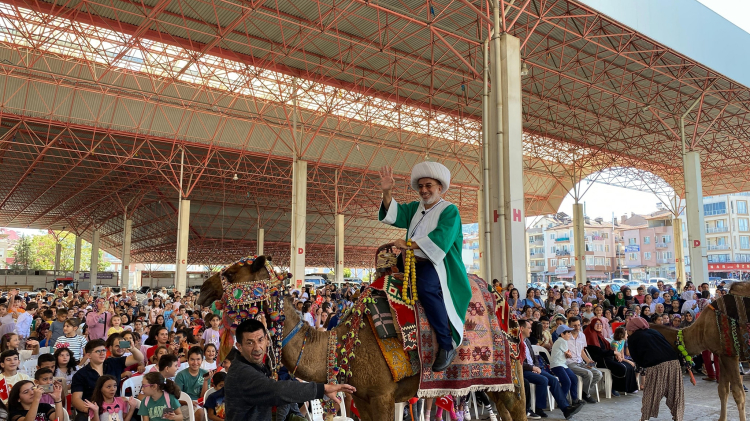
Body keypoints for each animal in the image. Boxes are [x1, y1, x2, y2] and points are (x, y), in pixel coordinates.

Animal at [197, 255, 527, 421]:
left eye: (233, 272)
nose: (203, 289)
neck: (341, 345)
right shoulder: (362, 399)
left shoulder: (382, 397)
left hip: (510, 373)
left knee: (517, 409)